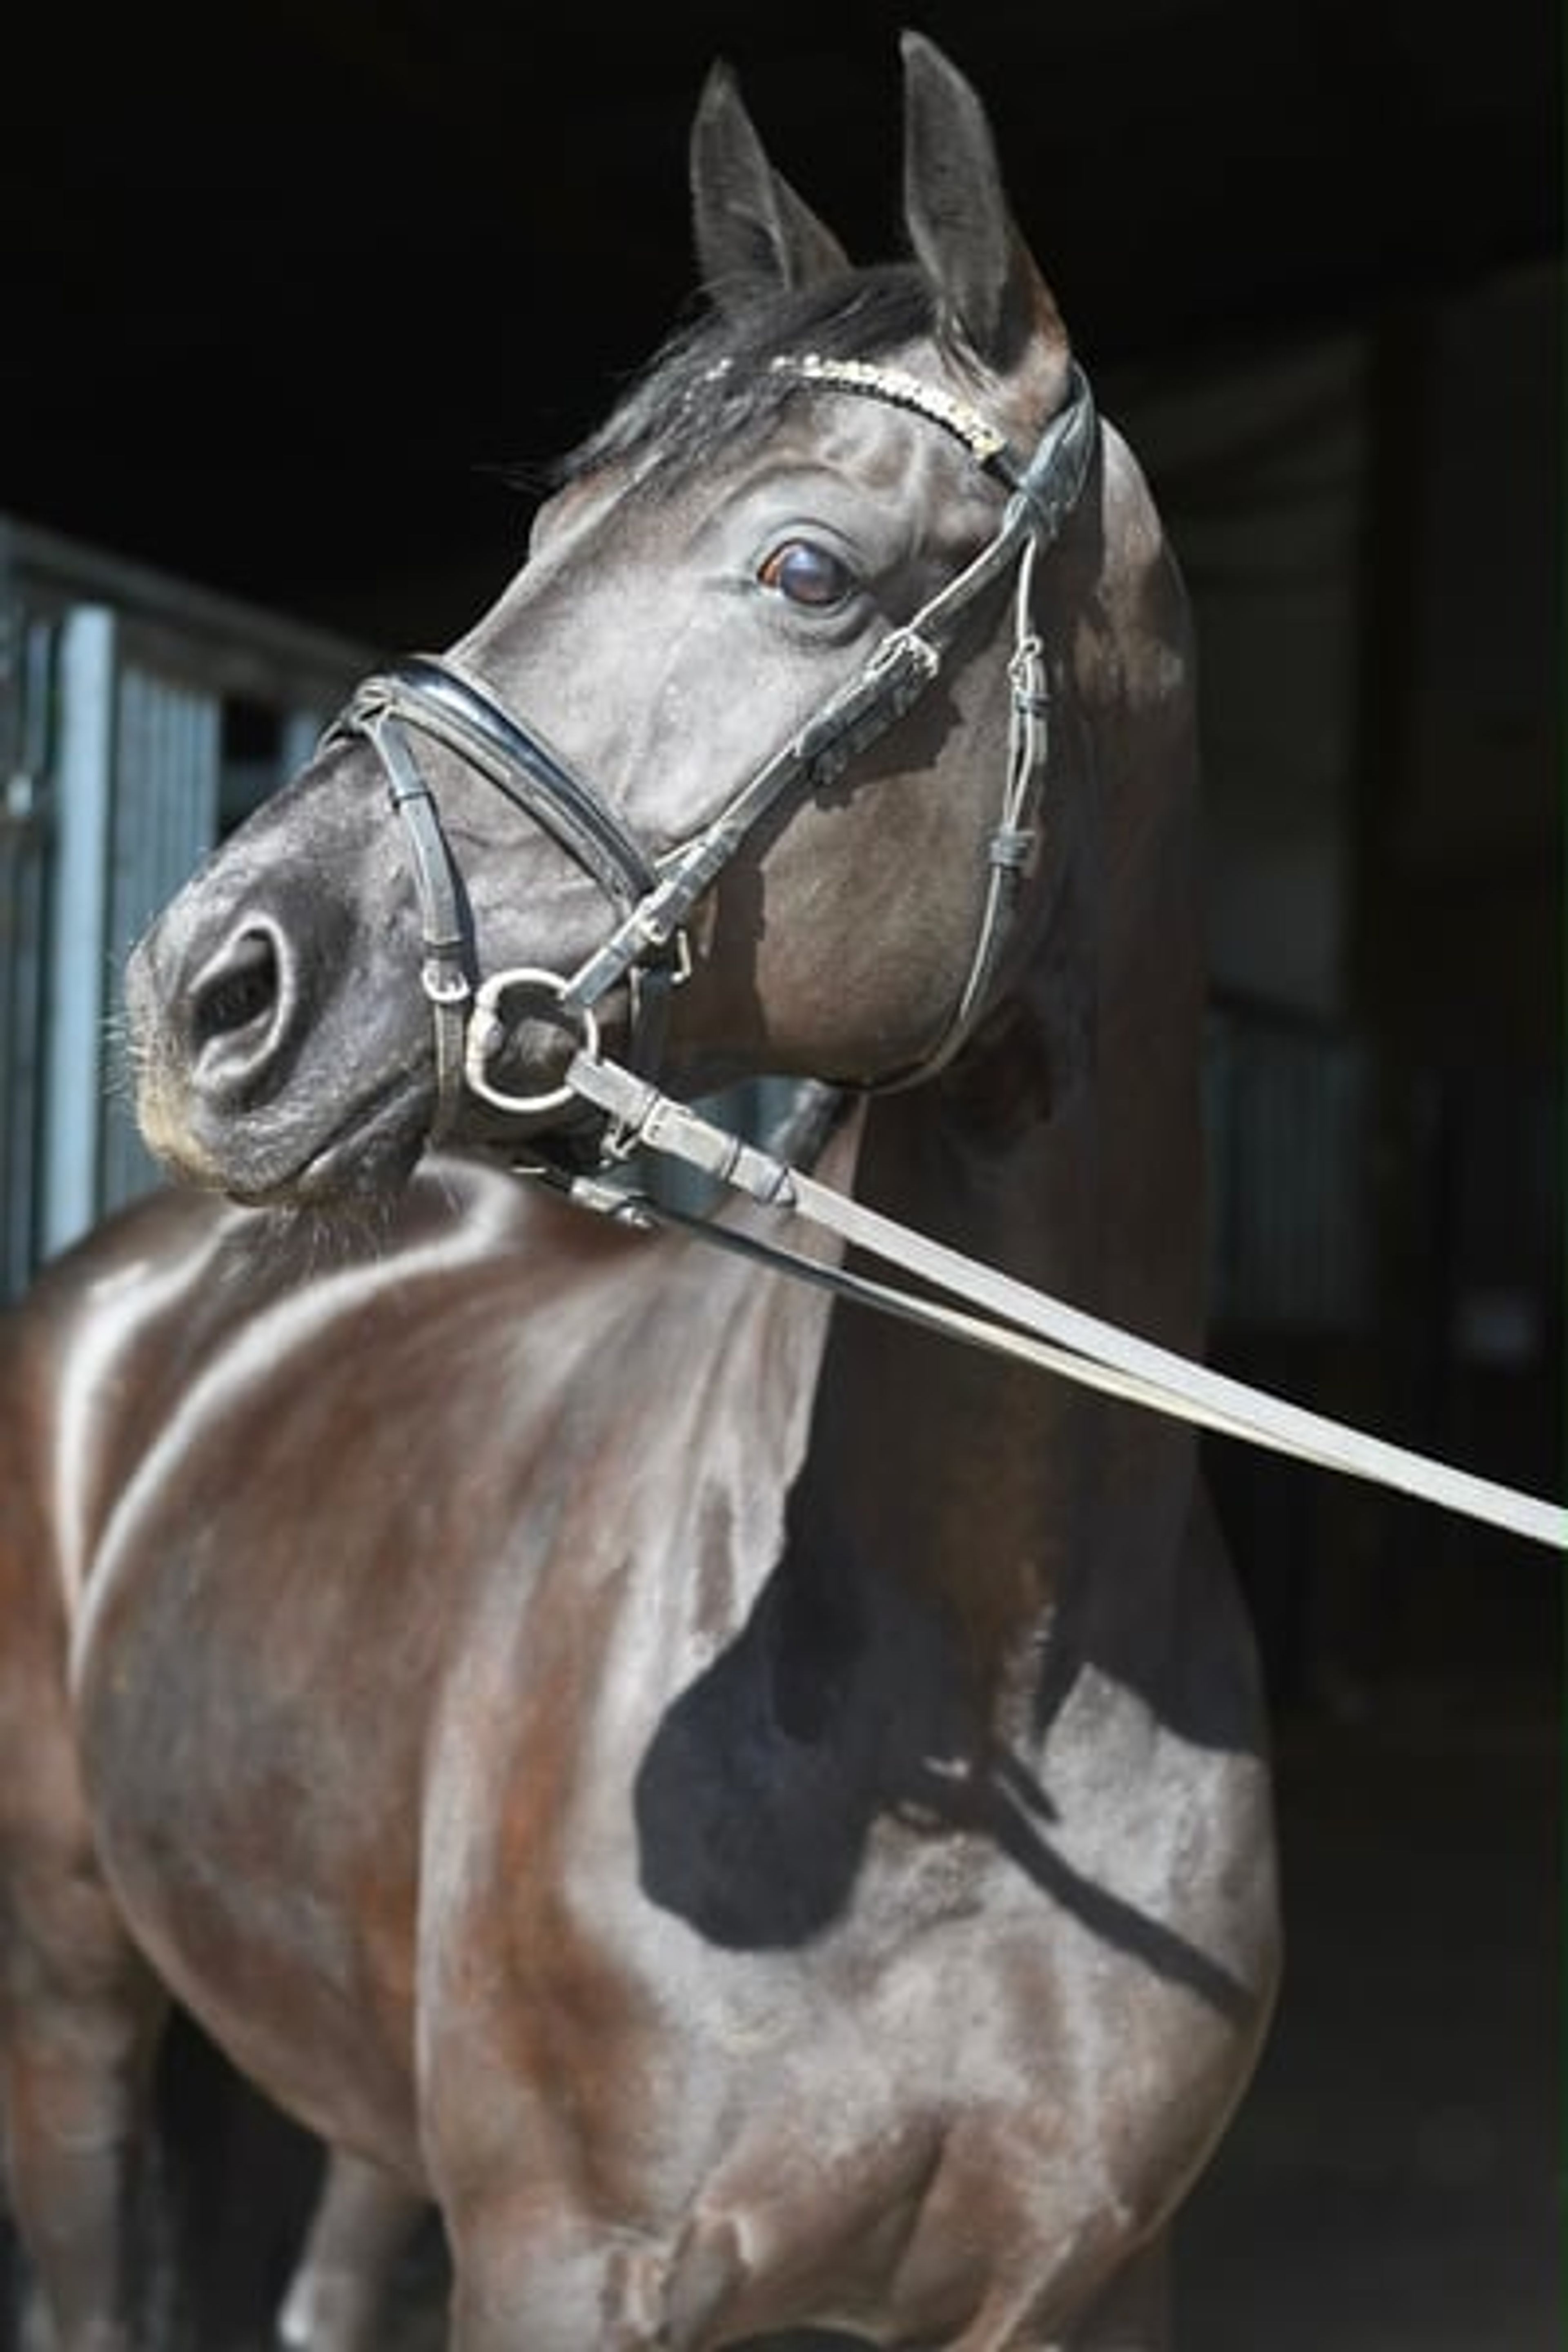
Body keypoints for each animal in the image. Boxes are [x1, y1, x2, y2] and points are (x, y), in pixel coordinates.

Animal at [0, 34, 1280, 2348]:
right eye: (540, 538)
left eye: (807, 571)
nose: (210, 987)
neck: (982, 1687)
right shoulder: (567, 2265)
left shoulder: (1087, 2288)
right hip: (66, 1995)